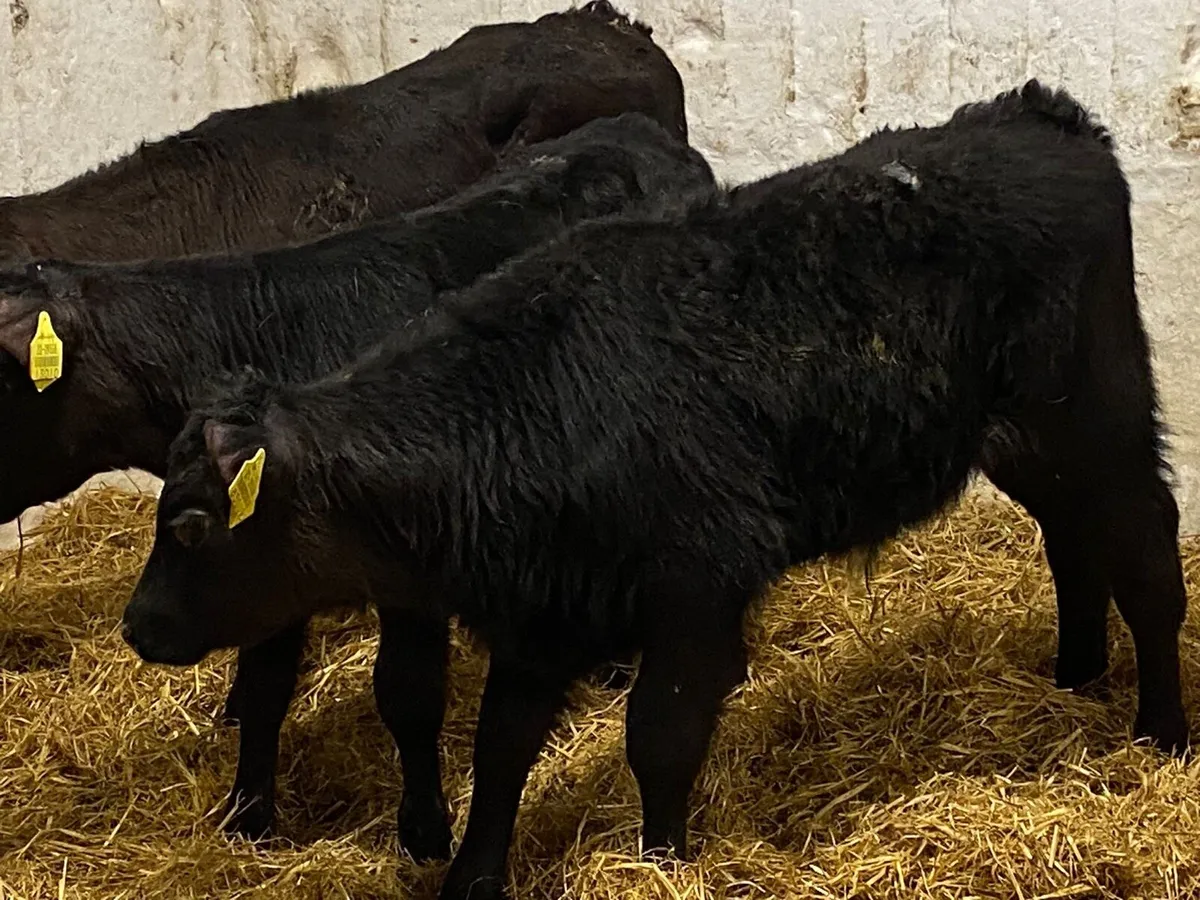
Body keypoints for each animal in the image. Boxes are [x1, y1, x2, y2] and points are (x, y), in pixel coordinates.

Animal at [0, 114, 716, 855]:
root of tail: (638, 132)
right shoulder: (258, 569)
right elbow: (265, 687)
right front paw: (249, 818)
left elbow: (407, 693)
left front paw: (424, 829)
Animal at [121, 81, 1189, 899]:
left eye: (193, 522)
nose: (136, 626)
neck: (529, 406)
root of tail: (1037, 113)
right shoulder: (540, 618)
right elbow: (500, 750)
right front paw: (472, 874)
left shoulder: (694, 591)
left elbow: (660, 738)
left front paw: (663, 860)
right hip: (1033, 443)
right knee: (1073, 541)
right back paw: (1074, 675)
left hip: (1100, 414)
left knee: (1146, 555)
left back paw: (1161, 735)